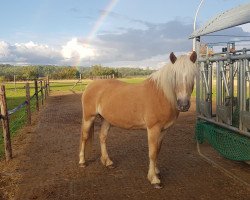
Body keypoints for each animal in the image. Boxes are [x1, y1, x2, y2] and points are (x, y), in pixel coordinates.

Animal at [79, 50, 196, 188]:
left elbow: (158, 150)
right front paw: (154, 179)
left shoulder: (163, 130)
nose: (183, 105)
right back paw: (82, 161)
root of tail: (90, 85)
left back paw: (108, 162)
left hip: (106, 120)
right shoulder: (153, 129)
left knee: (102, 137)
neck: (161, 95)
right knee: (84, 137)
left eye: (193, 75)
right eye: (174, 75)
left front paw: (156, 171)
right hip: (89, 117)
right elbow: (152, 152)